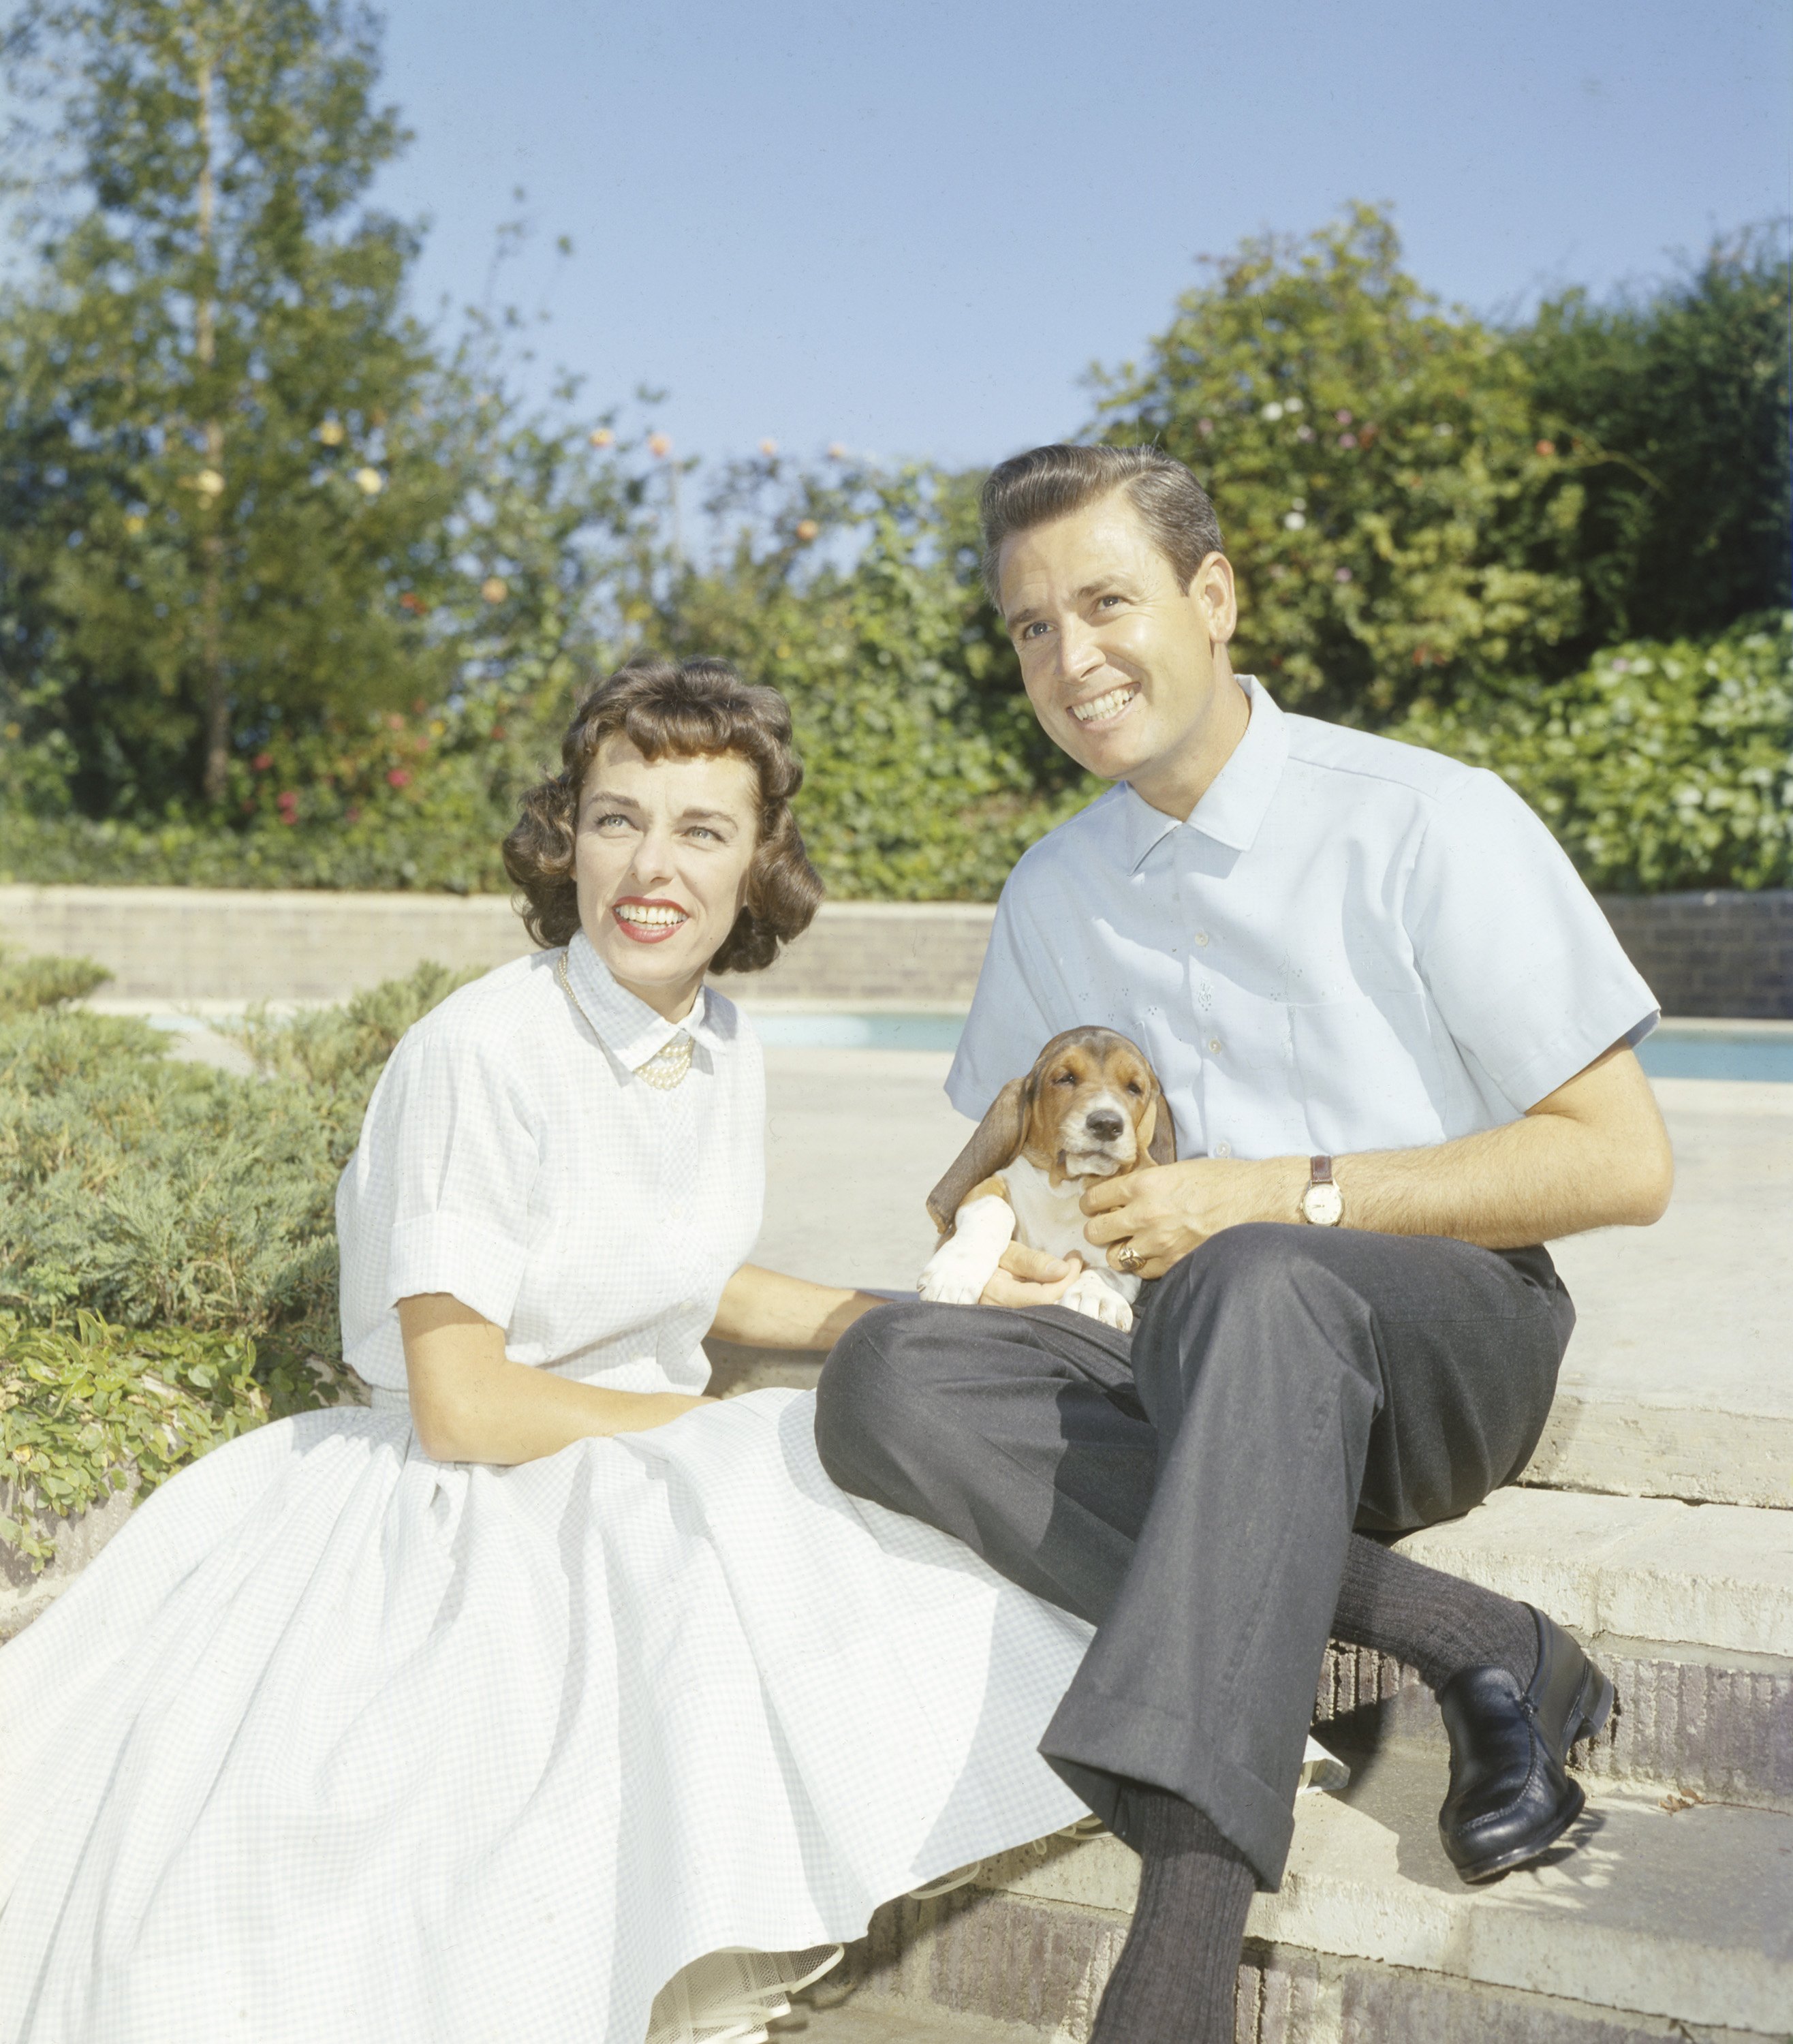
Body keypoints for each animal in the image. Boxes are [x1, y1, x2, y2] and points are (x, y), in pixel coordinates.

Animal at [916, 1030, 1185, 1333]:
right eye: (1066, 1078)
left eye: (1134, 1088)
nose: (1107, 1124)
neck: (1066, 1188)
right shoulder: (994, 1183)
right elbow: (995, 1208)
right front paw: (955, 1272)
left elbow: (1110, 1270)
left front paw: (1097, 1295)